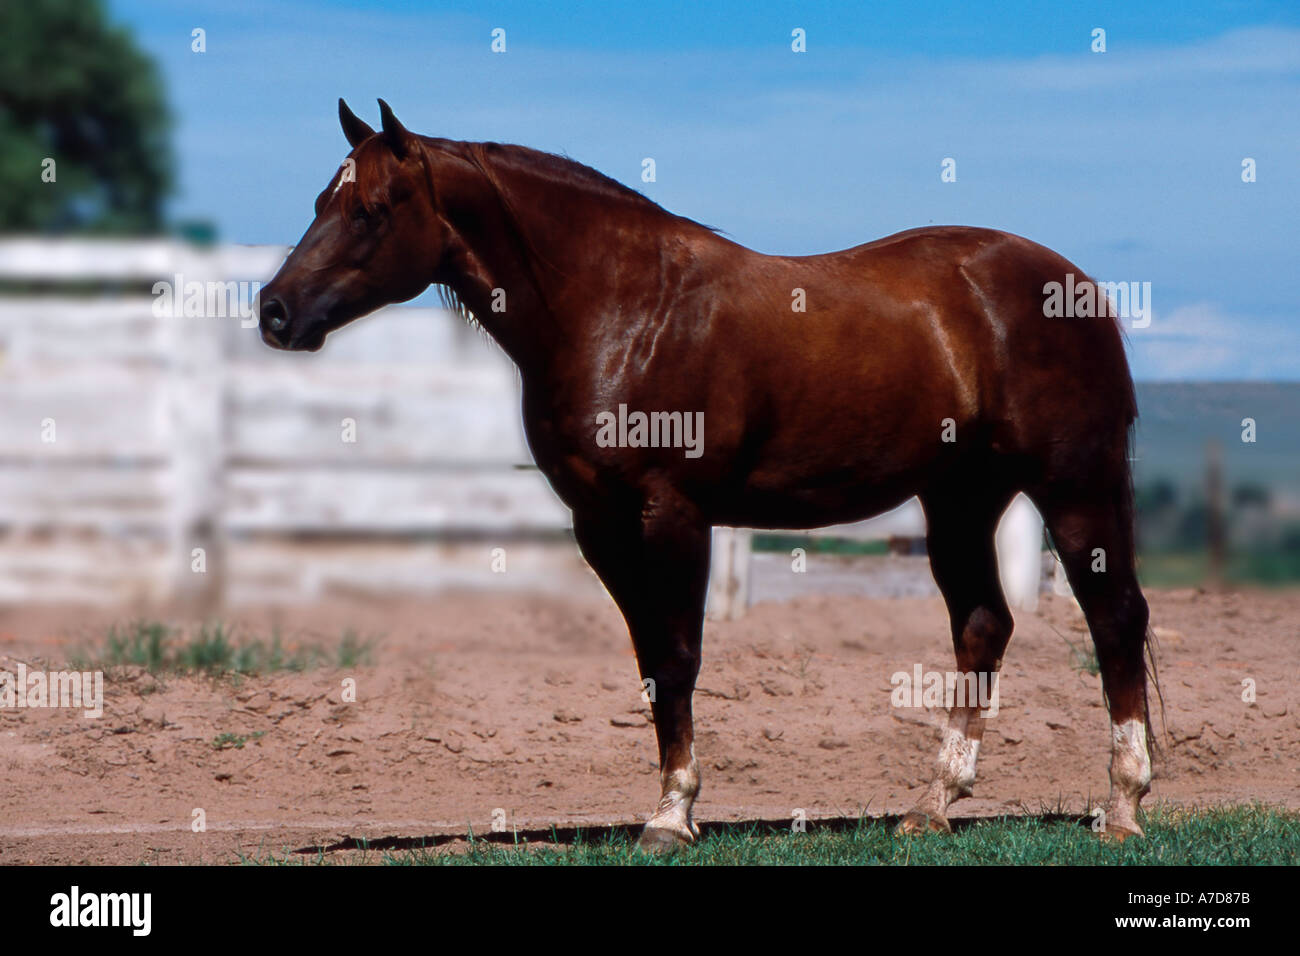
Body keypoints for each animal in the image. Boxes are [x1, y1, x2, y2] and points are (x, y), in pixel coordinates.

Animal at [256, 100, 1159, 848]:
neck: (622, 308)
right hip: (960, 499)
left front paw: (672, 818)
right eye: (319, 203)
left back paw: (1122, 807)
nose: (273, 312)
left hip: (1074, 488)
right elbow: (653, 663)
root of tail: (1076, 287)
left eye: (371, 210)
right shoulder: (601, 524)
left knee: (1114, 621)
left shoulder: (674, 513)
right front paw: (668, 806)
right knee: (982, 626)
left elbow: (682, 655)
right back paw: (933, 807)